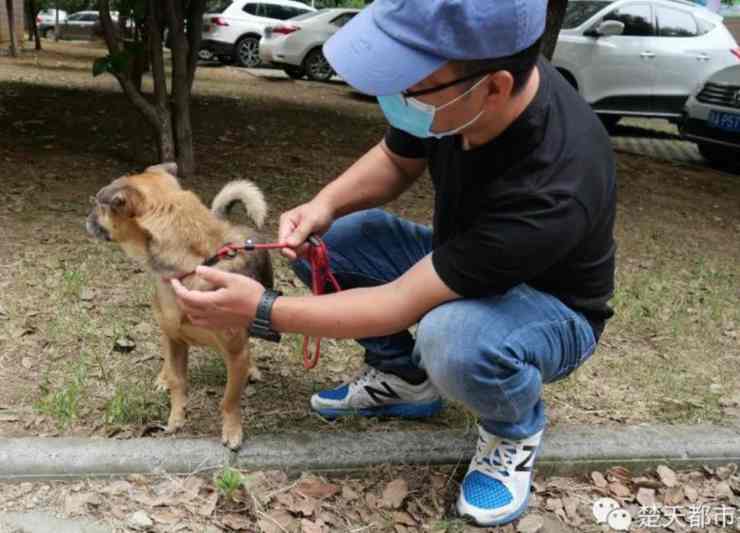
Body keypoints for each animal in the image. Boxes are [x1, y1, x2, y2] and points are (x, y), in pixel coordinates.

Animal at [86, 163, 272, 448]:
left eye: (101, 206)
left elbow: (229, 399)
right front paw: (175, 419)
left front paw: (231, 430)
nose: (87, 215)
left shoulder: (235, 351)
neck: (192, 266)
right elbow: (178, 382)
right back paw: (163, 377)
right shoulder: (175, 340)